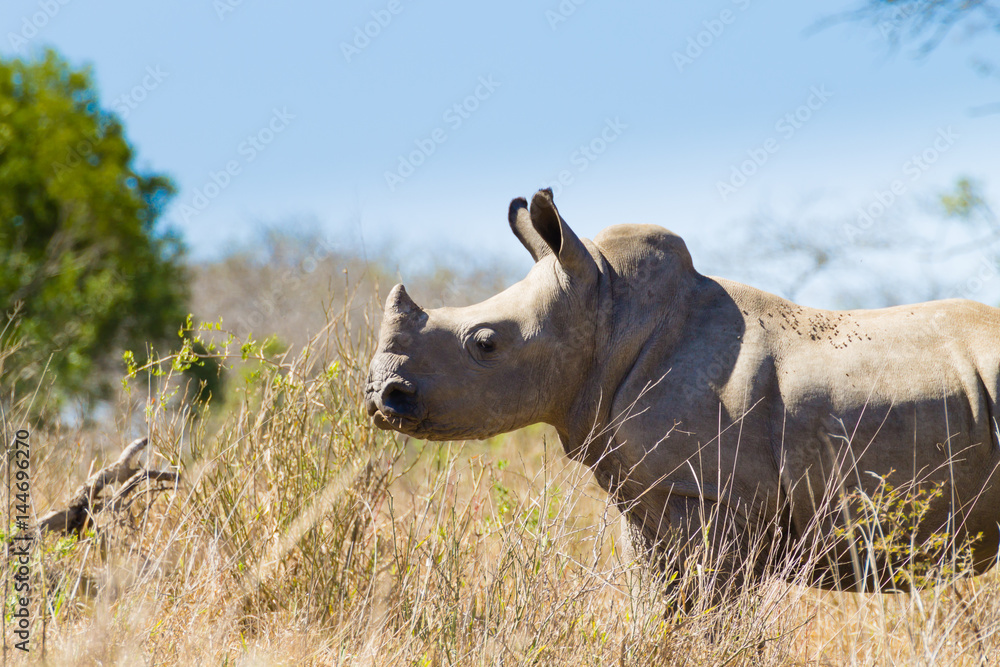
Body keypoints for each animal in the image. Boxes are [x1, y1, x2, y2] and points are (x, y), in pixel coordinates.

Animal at [365, 188, 1000, 595]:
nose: (380, 395)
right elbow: (658, 600)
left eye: (486, 343)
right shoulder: (649, 496)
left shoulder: (714, 497)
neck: (608, 311)